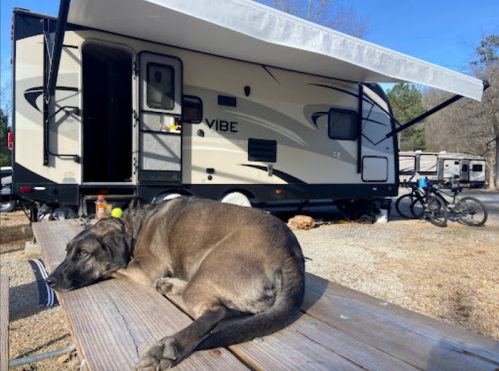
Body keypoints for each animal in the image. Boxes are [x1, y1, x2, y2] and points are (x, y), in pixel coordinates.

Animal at [46, 198, 304, 370]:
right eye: (67, 251)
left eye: (83, 253)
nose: (49, 281)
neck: (134, 227)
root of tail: (292, 255)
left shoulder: (145, 269)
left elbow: (111, 268)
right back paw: (170, 286)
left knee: (215, 311)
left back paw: (168, 347)